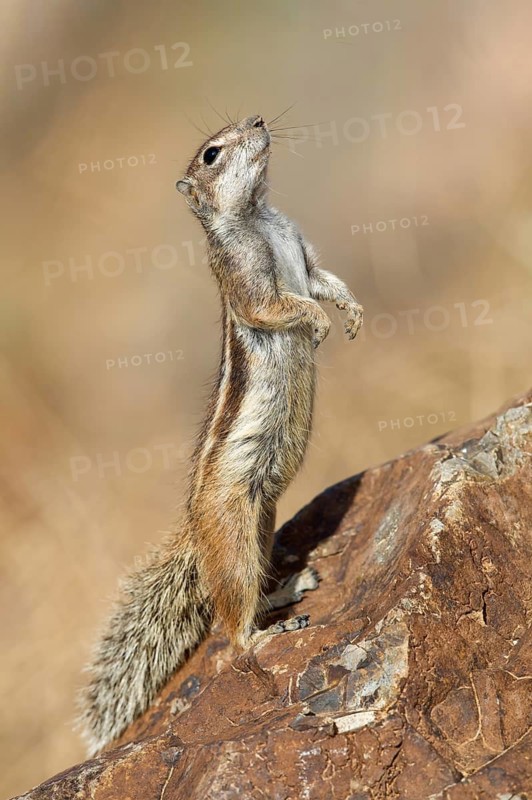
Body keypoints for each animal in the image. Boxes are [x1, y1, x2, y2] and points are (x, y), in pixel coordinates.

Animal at [78, 113, 363, 756]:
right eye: (211, 154)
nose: (257, 119)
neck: (256, 215)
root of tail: (194, 528)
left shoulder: (302, 250)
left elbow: (323, 278)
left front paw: (351, 311)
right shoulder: (247, 280)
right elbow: (277, 305)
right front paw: (319, 322)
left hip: (260, 522)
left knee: (248, 594)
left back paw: (286, 591)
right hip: (233, 536)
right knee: (228, 630)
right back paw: (263, 636)